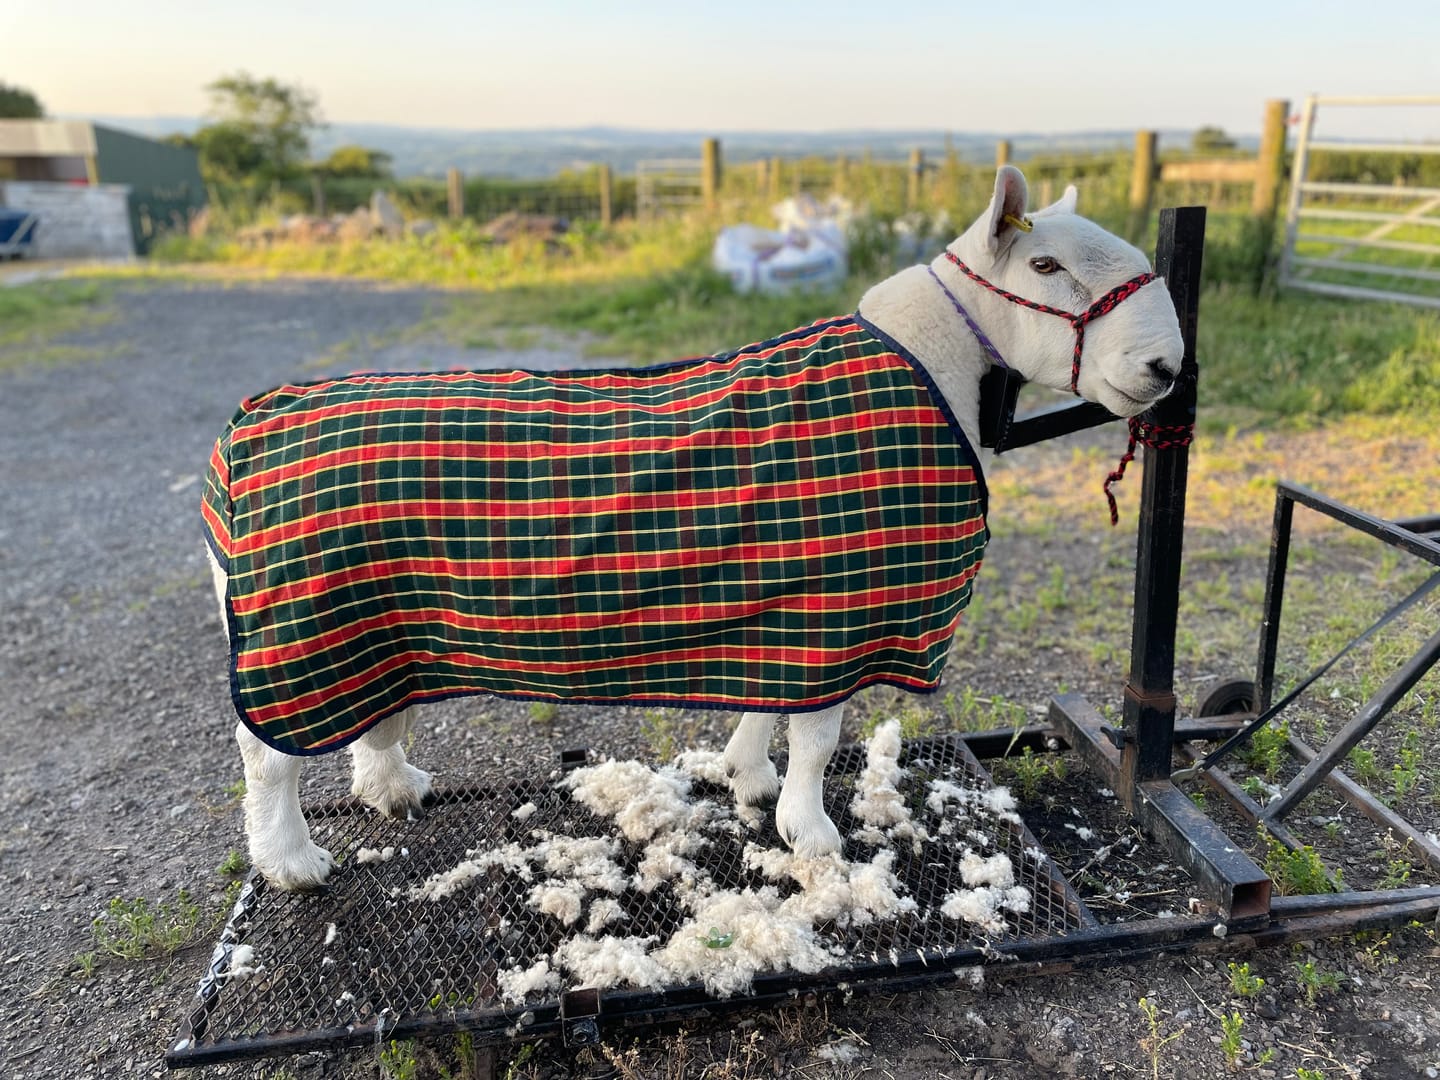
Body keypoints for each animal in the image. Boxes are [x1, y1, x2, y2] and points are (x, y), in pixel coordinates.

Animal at [202, 165, 1183, 891]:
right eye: (1046, 269)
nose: (1165, 366)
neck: (930, 367)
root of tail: (238, 440)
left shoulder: (786, 606)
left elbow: (769, 708)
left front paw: (751, 779)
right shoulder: (838, 604)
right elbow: (818, 736)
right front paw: (812, 833)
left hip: (374, 620)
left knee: (375, 712)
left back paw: (392, 785)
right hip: (299, 623)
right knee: (265, 757)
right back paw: (290, 860)